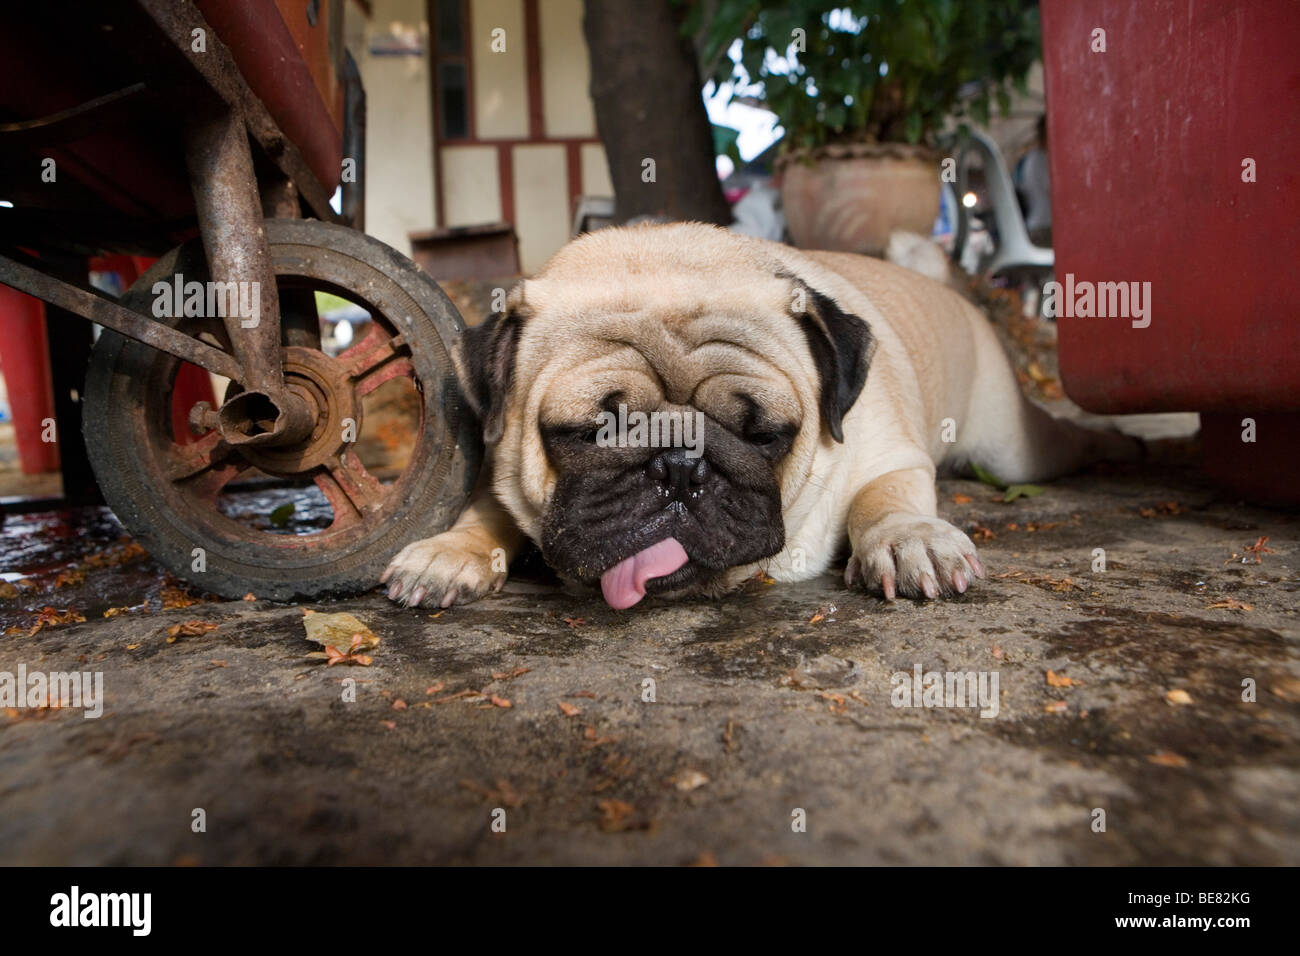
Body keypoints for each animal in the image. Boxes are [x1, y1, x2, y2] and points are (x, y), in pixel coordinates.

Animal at [379, 221, 1133, 608]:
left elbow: (887, 499)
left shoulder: (891, 457)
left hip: (1012, 448)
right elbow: (490, 506)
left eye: (764, 435)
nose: (678, 467)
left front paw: (908, 539)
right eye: (588, 432)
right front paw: (451, 551)